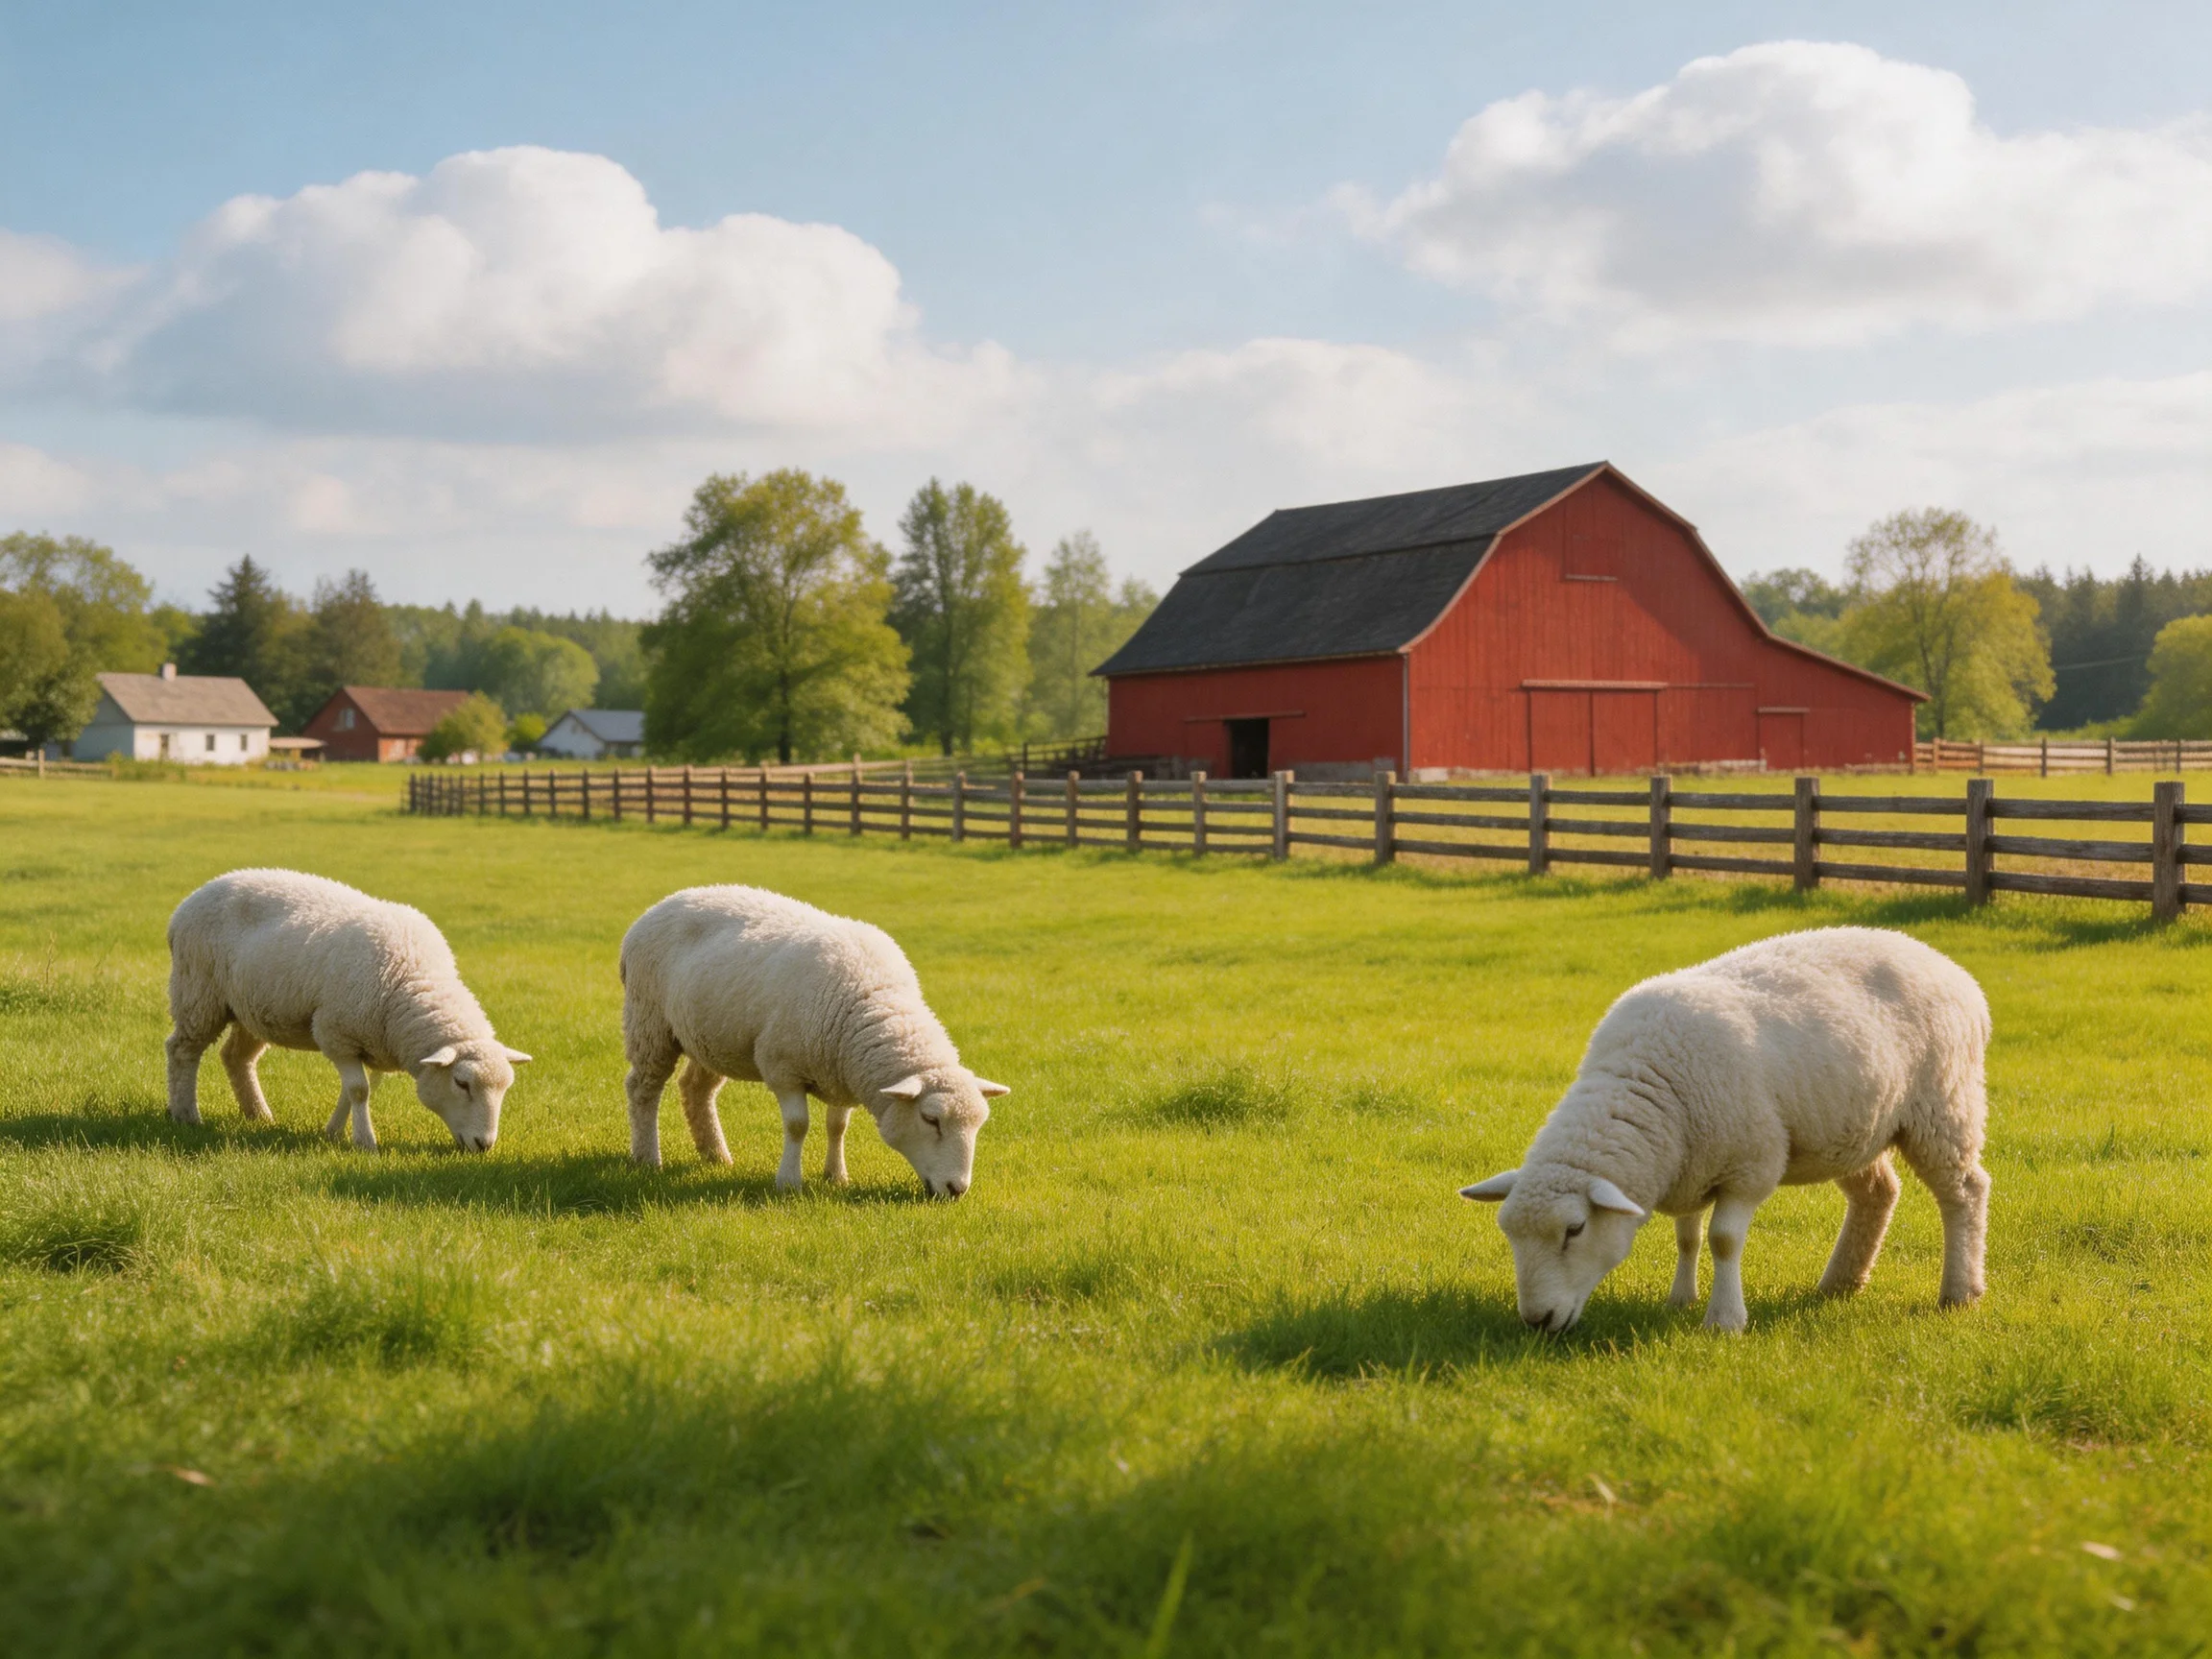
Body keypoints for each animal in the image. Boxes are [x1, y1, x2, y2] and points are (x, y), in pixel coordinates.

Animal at [165, 868, 530, 1152]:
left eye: (506, 1088)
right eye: (462, 1083)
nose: (484, 1144)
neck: (411, 978)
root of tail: (190, 900)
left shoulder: (367, 1042)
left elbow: (352, 1091)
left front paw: (333, 1132)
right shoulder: (334, 1033)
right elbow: (359, 1090)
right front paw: (364, 1141)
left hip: (251, 1008)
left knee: (236, 1058)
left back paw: (258, 1115)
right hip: (198, 990)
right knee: (182, 1050)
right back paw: (186, 1114)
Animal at [619, 885, 1007, 1198]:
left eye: (978, 1124)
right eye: (930, 1119)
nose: (957, 1189)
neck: (872, 999)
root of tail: (662, 904)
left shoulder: (843, 1072)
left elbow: (837, 1126)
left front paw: (836, 1176)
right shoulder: (783, 1068)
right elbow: (797, 1125)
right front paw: (789, 1182)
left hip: (711, 1036)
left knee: (696, 1089)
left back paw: (716, 1155)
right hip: (649, 1021)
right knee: (643, 1088)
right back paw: (648, 1158)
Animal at [1460, 926, 1990, 1333]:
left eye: (1575, 1229)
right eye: (1509, 1234)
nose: (1537, 1321)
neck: (1649, 1081)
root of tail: (1951, 968)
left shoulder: (1750, 1165)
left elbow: (1723, 1241)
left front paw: (1725, 1320)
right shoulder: (1690, 1162)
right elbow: (1687, 1237)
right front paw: (1681, 1298)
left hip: (1943, 1106)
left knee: (1965, 1190)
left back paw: (1960, 1291)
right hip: (1850, 1125)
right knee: (1877, 1193)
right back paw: (1840, 1282)